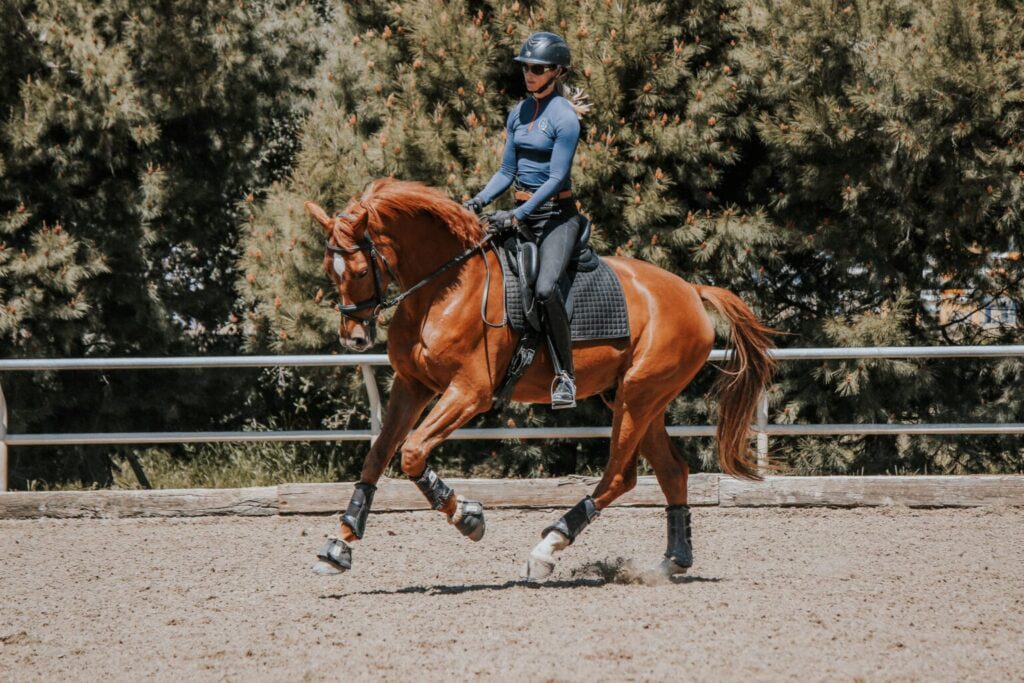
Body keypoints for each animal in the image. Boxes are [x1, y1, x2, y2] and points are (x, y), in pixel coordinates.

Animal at [305, 178, 774, 580]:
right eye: (330, 269)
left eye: (359, 271)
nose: (354, 338)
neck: (443, 288)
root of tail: (691, 291)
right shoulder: (412, 386)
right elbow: (378, 455)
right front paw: (340, 543)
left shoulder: (470, 392)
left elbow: (412, 452)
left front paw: (467, 517)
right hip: (639, 399)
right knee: (672, 471)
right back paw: (671, 562)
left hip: (637, 397)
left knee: (620, 477)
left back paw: (547, 548)